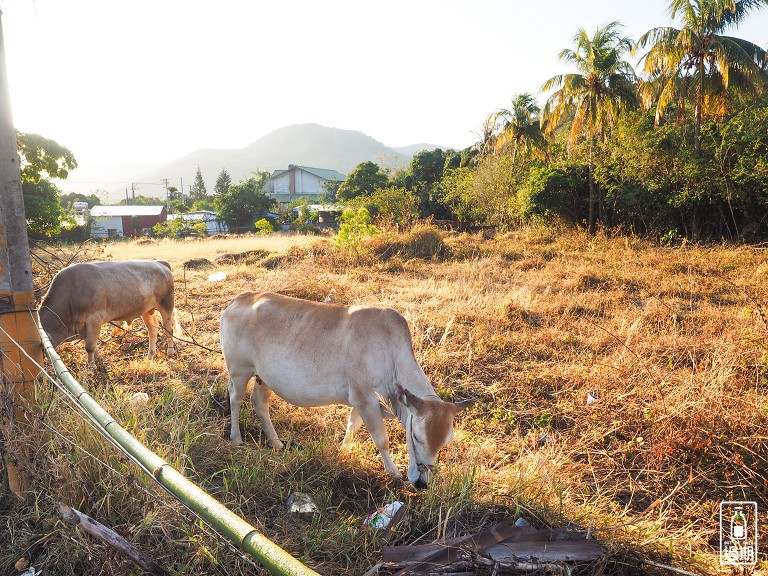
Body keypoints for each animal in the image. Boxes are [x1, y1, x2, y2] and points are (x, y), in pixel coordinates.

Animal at [39, 258, 180, 362]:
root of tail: (158, 262)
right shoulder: (84, 326)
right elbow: (92, 344)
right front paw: (97, 360)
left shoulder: (94, 319)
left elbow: (89, 346)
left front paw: (90, 368)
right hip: (147, 310)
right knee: (153, 329)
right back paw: (150, 355)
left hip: (166, 305)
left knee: (169, 330)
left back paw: (170, 352)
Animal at [219, 292, 474, 486]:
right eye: (416, 436)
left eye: (445, 442)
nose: (422, 484)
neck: (389, 350)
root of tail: (240, 299)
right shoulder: (363, 398)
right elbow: (381, 439)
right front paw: (393, 472)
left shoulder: (360, 400)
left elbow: (352, 426)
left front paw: (342, 450)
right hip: (239, 369)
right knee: (235, 398)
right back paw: (236, 438)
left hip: (264, 378)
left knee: (259, 403)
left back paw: (276, 442)